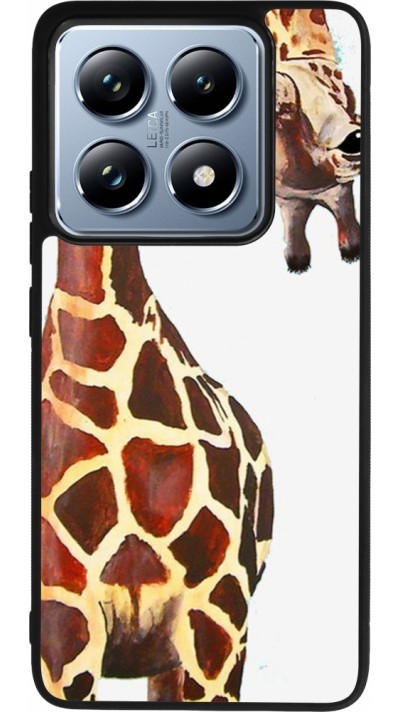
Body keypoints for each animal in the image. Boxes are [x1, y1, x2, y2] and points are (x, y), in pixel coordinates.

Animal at [266, 8, 361, 272]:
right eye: (286, 107)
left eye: (345, 91)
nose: (353, 135)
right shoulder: (288, 199)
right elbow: (296, 251)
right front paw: (298, 266)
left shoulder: (340, 188)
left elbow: (351, 236)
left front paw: (351, 254)